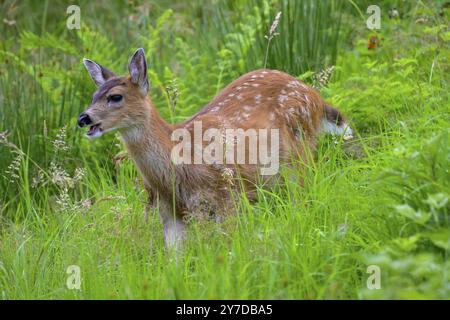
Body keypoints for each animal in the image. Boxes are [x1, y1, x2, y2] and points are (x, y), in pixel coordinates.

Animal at [78, 48, 352, 248]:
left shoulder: (228, 195)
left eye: (115, 97)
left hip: (299, 159)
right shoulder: (169, 210)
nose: (83, 118)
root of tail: (315, 97)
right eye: (93, 97)